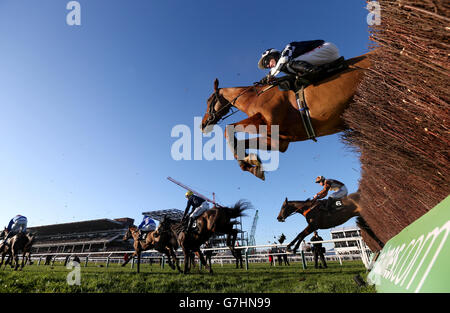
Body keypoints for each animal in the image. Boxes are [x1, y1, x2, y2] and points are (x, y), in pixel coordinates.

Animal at [202, 52, 370, 179]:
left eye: (208, 100)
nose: (203, 125)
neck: (254, 98)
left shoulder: (271, 126)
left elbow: (228, 130)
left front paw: (250, 162)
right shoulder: (280, 141)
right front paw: (250, 163)